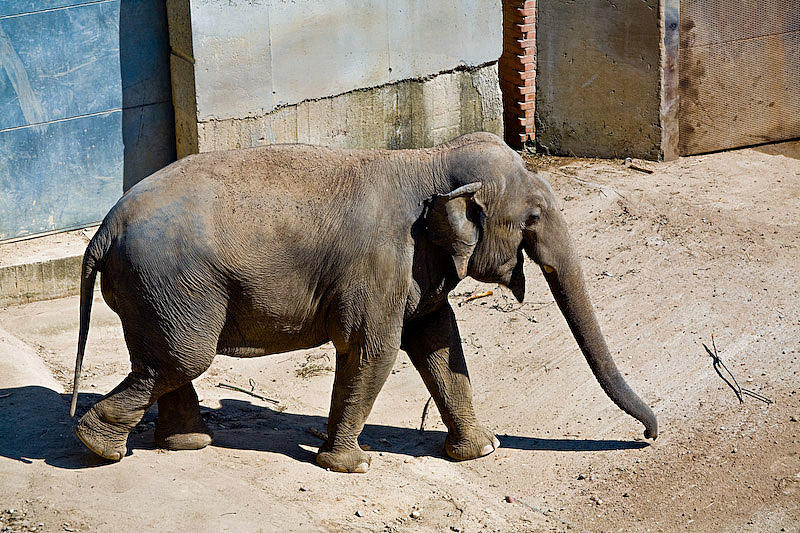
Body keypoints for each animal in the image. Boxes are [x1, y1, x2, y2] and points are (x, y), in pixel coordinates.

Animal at [69, 132, 656, 470]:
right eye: (532, 218)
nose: (651, 436)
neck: (428, 160)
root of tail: (104, 230)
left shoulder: (417, 265)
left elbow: (437, 340)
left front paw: (480, 451)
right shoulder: (378, 264)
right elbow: (373, 349)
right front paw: (351, 465)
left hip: (153, 293)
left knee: (164, 360)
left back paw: (185, 445)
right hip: (169, 283)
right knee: (182, 358)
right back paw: (101, 449)